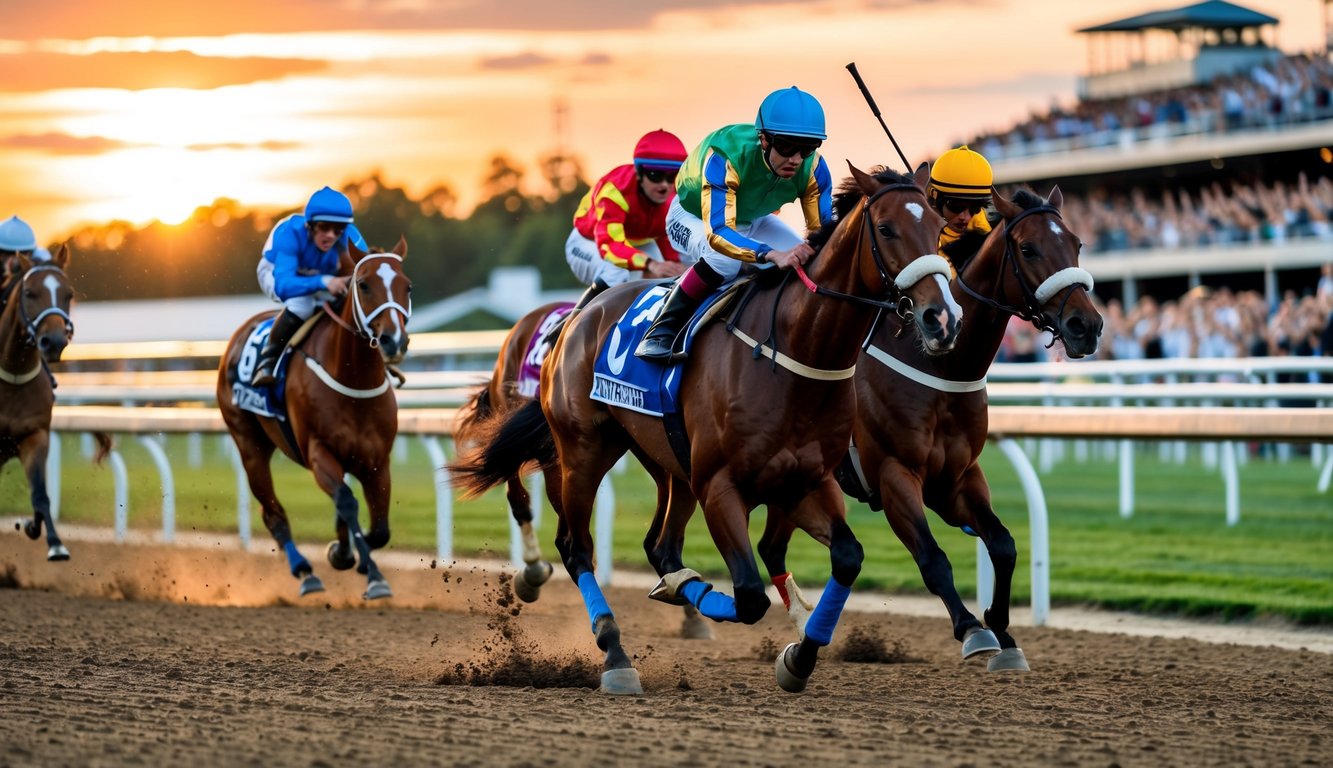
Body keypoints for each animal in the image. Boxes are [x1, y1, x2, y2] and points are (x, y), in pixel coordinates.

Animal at [1, 245, 110, 557]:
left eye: (68, 293)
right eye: (29, 293)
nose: (55, 341)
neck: (12, 375)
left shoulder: (35, 435)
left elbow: (40, 494)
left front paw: (50, 539)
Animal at [215, 240, 413, 600]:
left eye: (408, 287)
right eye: (364, 285)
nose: (394, 341)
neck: (353, 380)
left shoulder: (377, 462)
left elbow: (379, 528)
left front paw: (350, 553)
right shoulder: (318, 452)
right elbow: (347, 503)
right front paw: (369, 572)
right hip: (249, 443)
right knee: (273, 512)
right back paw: (305, 572)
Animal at [453, 163, 965, 693]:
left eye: (938, 228)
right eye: (886, 229)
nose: (942, 318)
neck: (792, 353)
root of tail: (574, 321)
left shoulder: (806, 480)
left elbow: (846, 557)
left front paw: (800, 655)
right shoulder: (720, 485)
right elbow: (749, 595)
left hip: (667, 462)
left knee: (660, 546)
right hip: (583, 450)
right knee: (576, 548)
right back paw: (613, 650)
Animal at [757, 186, 1098, 672]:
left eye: (1076, 244)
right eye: (1029, 249)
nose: (1087, 325)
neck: (941, 366)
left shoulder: (957, 478)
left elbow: (1004, 544)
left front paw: (1004, 630)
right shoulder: (894, 474)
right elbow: (933, 560)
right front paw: (973, 629)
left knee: (770, 546)